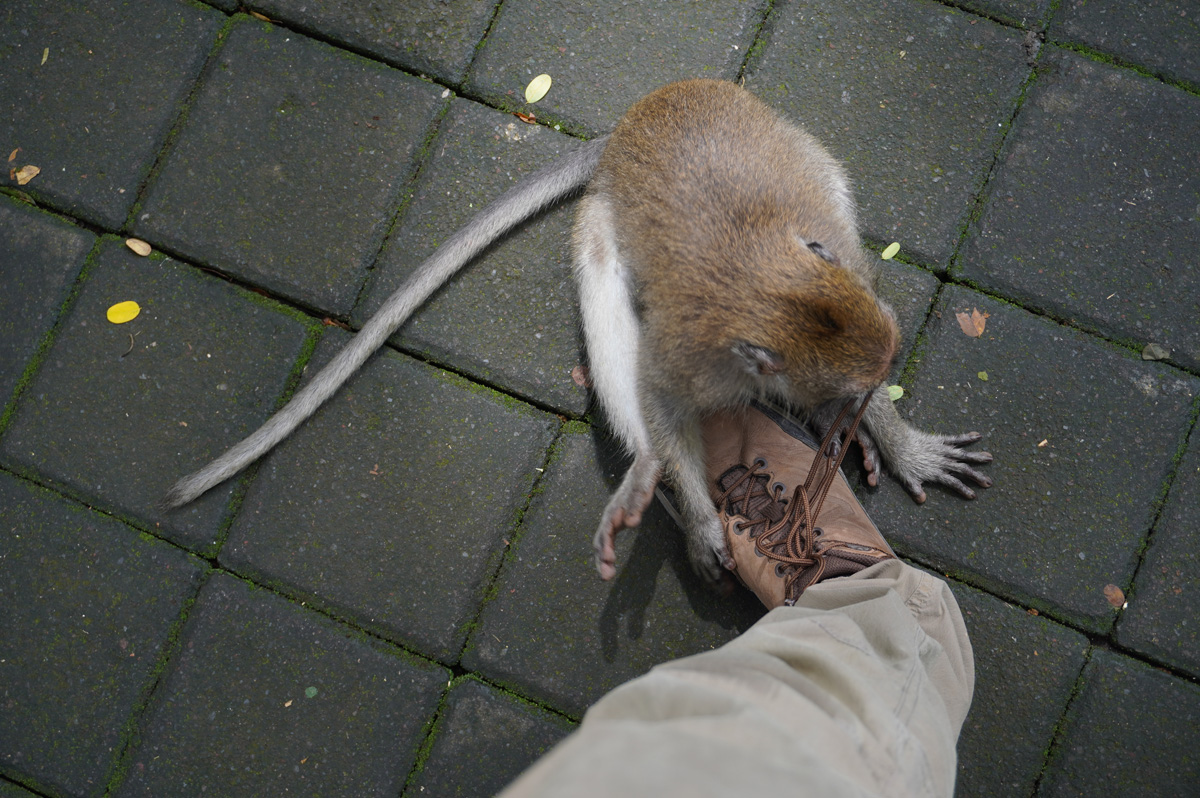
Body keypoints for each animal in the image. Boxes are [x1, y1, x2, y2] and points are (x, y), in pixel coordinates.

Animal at [164, 79, 992, 585]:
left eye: (875, 376)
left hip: (802, 156)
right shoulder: (689, 354)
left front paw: (892, 438)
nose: (849, 409)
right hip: (599, 213)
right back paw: (652, 493)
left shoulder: (846, 267)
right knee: (603, 300)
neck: (758, 287)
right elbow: (655, 399)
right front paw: (703, 520)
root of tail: (628, 122)